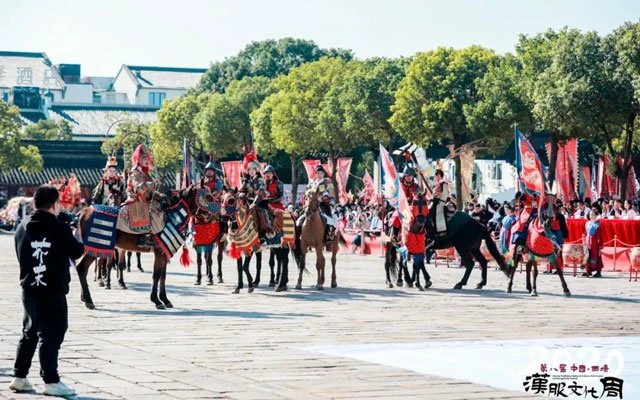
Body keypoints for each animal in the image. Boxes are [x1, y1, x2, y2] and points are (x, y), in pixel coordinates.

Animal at [75, 186, 210, 310]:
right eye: (208, 197)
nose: (212, 217)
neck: (172, 215)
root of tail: (81, 213)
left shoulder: (164, 252)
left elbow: (163, 276)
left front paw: (165, 299)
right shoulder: (159, 252)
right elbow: (156, 275)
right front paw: (156, 300)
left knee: (83, 269)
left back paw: (85, 297)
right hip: (97, 245)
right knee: (83, 268)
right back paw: (89, 299)